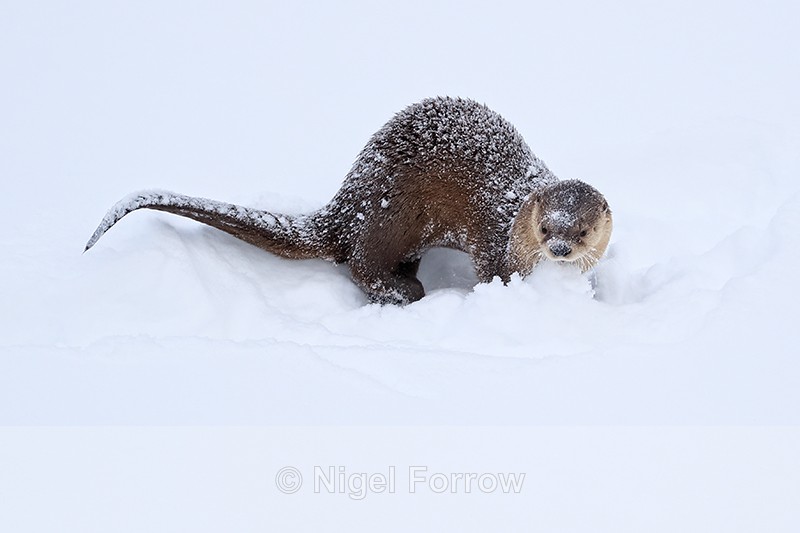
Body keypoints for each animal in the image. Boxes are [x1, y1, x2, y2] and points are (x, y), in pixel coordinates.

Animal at [85, 97, 612, 305]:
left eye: (582, 230)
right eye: (546, 227)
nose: (559, 249)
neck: (512, 217)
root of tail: (344, 207)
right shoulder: (490, 239)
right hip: (392, 214)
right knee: (360, 265)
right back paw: (404, 291)